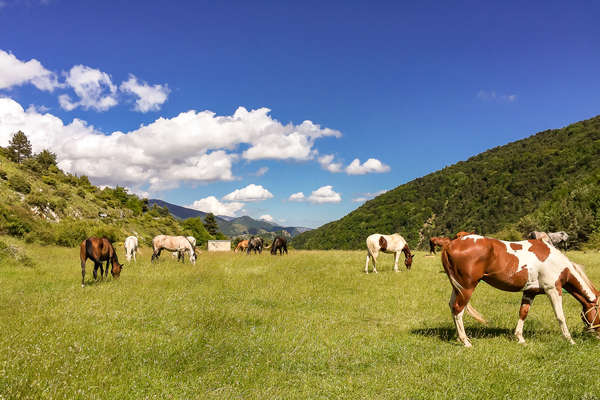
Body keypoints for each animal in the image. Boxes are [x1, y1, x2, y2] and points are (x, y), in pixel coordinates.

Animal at [440, 234, 600, 346]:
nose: (598, 335)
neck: (558, 263)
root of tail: (450, 244)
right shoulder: (553, 290)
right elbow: (560, 316)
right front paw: (570, 340)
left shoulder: (530, 292)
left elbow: (523, 313)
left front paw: (520, 338)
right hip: (467, 287)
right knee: (458, 310)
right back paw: (465, 341)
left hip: (458, 288)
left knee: (452, 306)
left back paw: (459, 338)